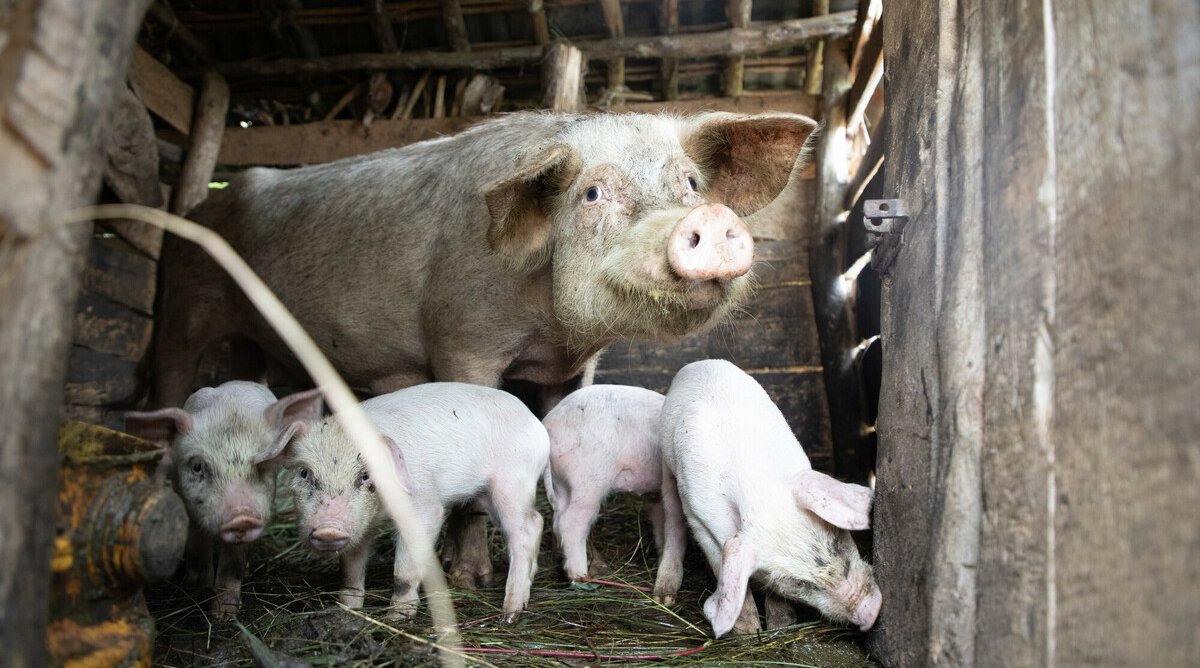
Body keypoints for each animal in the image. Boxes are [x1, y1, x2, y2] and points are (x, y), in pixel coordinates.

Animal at [124, 376, 321, 618]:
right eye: (197, 466)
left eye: (263, 464)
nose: (242, 516)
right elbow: (197, 545)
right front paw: (197, 587)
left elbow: (232, 564)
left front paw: (224, 616)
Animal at [274, 383, 547, 623]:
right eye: (304, 473)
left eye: (365, 475)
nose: (328, 530)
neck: (381, 511)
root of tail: (537, 425)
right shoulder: (361, 524)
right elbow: (351, 568)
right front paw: (347, 610)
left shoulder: (424, 506)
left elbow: (403, 572)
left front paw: (396, 619)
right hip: (485, 493)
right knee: (537, 521)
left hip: (512, 481)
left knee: (524, 529)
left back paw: (509, 614)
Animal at [542, 383, 686, 602]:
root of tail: (548, 424)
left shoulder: (657, 497)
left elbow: (661, 527)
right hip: (588, 478)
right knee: (571, 523)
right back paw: (583, 577)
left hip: (561, 484)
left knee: (558, 522)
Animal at [657, 359, 883, 633]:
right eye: (797, 583)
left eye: (838, 539)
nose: (871, 610)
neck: (754, 485)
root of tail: (697, 363)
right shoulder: (700, 521)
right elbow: (722, 568)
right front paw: (749, 632)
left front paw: (781, 625)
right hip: (667, 468)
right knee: (672, 517)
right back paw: (664, 598)